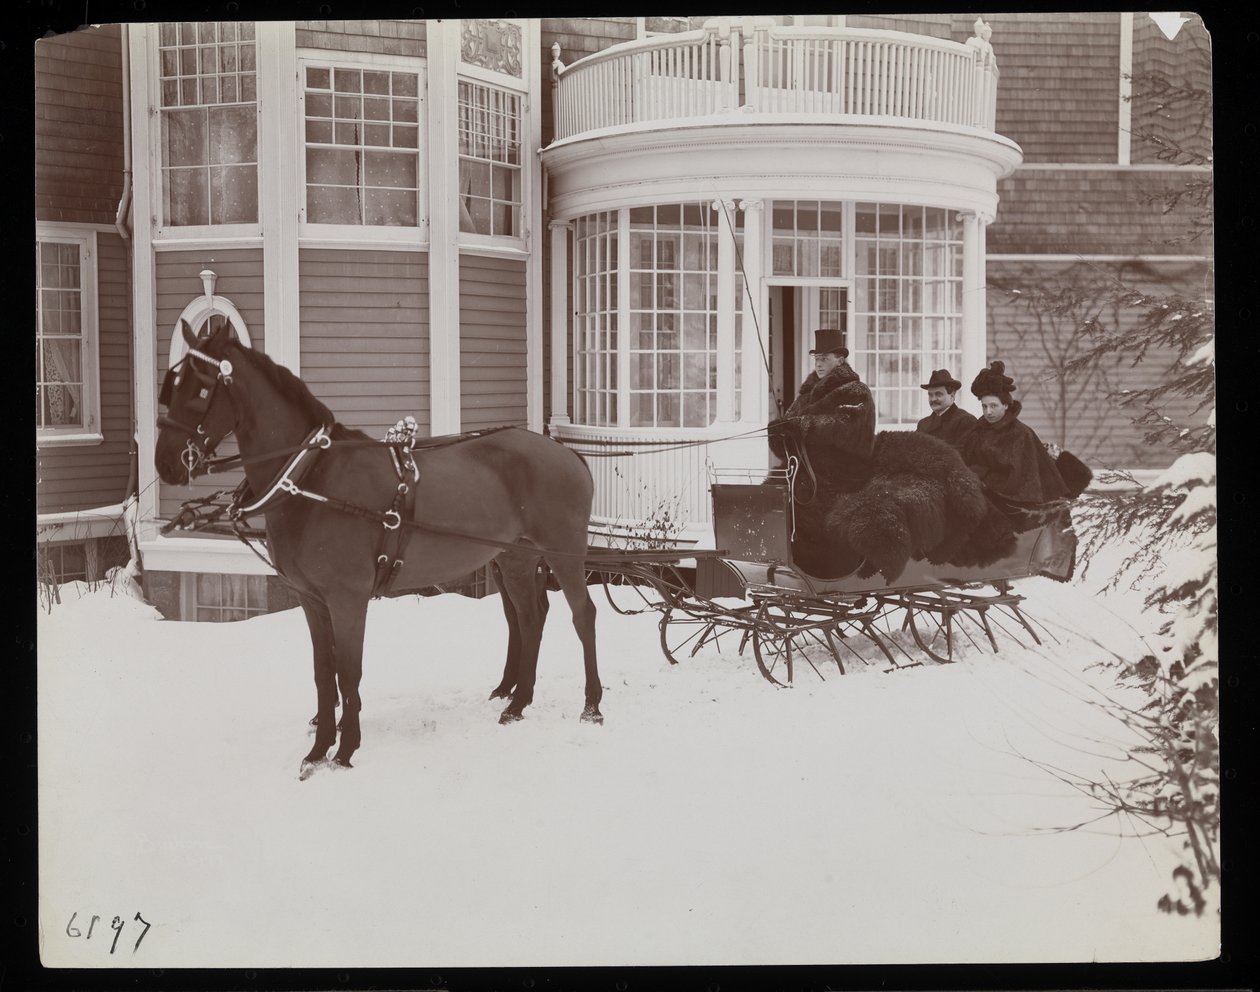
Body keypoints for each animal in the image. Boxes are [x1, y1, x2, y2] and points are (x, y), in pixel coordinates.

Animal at [152, 317, 604, 776]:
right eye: (173, 385)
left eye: (200, 389)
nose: (164, 463)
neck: (310, 477)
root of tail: (568, 453)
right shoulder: (311, 600)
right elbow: (324, 673)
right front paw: (318, 749)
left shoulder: (348, 598)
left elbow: (348, 673)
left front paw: (345, 749)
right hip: (514, 555)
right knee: (529, 618)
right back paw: (517, 701)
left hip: (564, 551)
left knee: (582, 614)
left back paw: (591, 704)